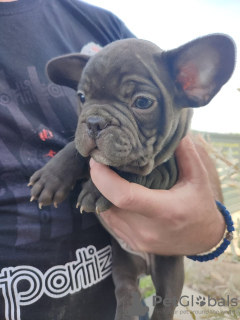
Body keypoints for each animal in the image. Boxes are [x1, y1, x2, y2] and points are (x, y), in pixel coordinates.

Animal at [29, 35, 235, 320]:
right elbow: (75, 149)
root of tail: (144, 265)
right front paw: (50, 178)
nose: (94, 121)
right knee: (127, 291)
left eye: (143, 102)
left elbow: (132, 168)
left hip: (169, 266)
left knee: (164, 303)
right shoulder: (83, 146)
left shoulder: (165, 171)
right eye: (82, 97)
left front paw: (97, 191)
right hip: (122, 263)